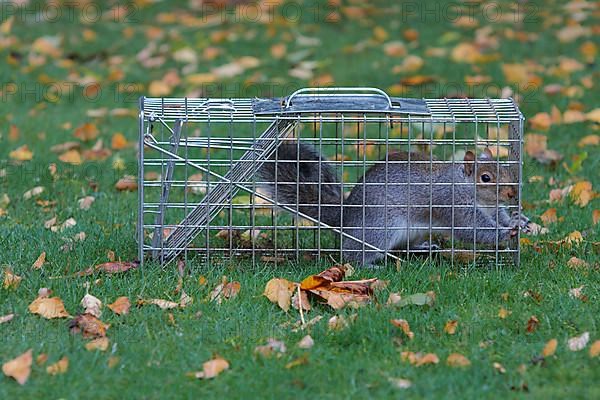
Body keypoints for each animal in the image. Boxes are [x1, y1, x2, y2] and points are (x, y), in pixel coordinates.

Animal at [258, 141, 528, 266]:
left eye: (505, 169)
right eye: (486, 178)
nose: (513, 193)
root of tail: (346, 216)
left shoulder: (494, 208)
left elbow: (501, 217)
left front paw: (520, 221)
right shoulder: (453, 204)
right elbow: (474, 229)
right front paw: (505, 232)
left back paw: (423, 248)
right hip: (379, 230)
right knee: (351, 255)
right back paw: (369, 267)